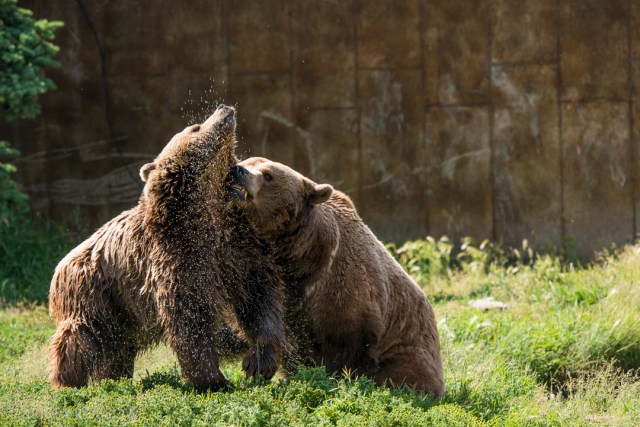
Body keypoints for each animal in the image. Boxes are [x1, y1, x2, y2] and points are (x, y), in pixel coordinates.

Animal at [48, 105, 285, 391]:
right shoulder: (177, 259)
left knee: (117, 350)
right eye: (195, 126)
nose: (224, 109)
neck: (205, 217)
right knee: (80, 339)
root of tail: (59, 265)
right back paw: (67, 382)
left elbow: (261, 302)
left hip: (122, 313)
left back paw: (113, 378)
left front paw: (258, 361)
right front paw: (214, 381)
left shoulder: (239, 253)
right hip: (93, 296)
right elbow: (189, 321)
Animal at [226, 157, 445, 397]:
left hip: (408, 350)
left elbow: (345, 347)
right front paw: (257, 363)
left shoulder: (342, 292)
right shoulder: (262, 273)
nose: (238, 170)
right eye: (246, 161)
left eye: (268, 175)